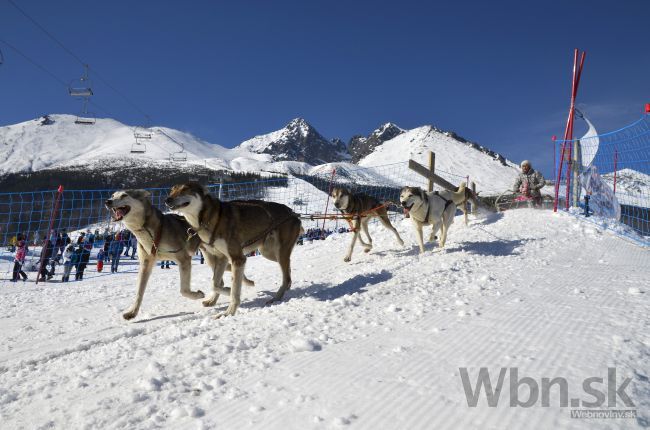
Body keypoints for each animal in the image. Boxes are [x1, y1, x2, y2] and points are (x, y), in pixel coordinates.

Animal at [165, 183, 302, 318]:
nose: (167, 200)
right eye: (172, 190)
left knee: (286, 277)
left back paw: (276, 298)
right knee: (288, 272)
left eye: (184, 189)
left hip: (279, 253)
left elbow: (234, 291)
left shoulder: (238, 259)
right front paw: (224, 293)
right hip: (268, 253)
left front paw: (229, 312)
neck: (211, 219)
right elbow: (215, 283)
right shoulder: (222, 258)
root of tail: (293, 212)